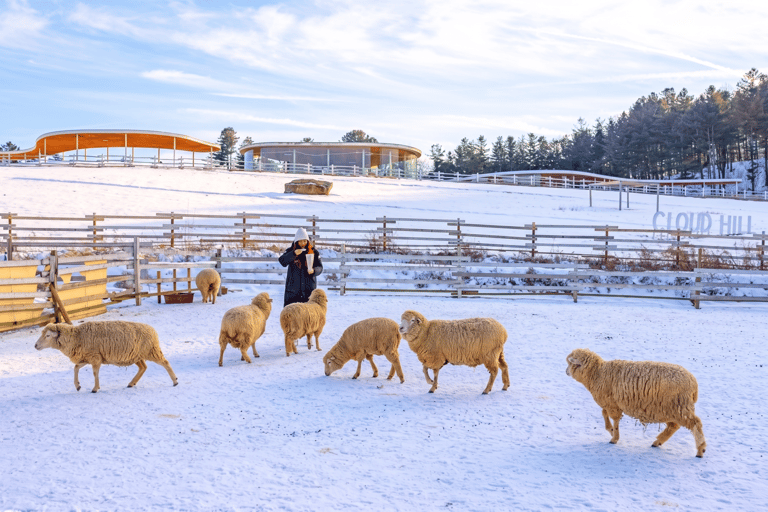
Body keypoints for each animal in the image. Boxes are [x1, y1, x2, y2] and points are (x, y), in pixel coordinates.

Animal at [34, 321, 178, 393]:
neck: (77, 337)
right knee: (143, 367)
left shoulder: (95, 357)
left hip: (151, 351)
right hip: (136, 355)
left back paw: (175, 381)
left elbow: (95, 373)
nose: (35, 346)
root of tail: (153, 330)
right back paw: (131, 383)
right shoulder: (87, 357)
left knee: (165, 363)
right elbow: (76, 368)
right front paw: (78, 386)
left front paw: (95, 388)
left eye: (47, 335)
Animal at [565, 348, 707, 458]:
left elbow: (613, 419)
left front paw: (614, 437)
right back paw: (658, 442)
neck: (598, 373)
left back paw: (700, 450)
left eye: (570, 363)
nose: (566, 371)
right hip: (671, 409)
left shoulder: (612, 403)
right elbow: (604, 414)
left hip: (678, 406)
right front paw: (611, 430)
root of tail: (694, 384)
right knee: (674, 426)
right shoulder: (610, 402)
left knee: (695, 424)